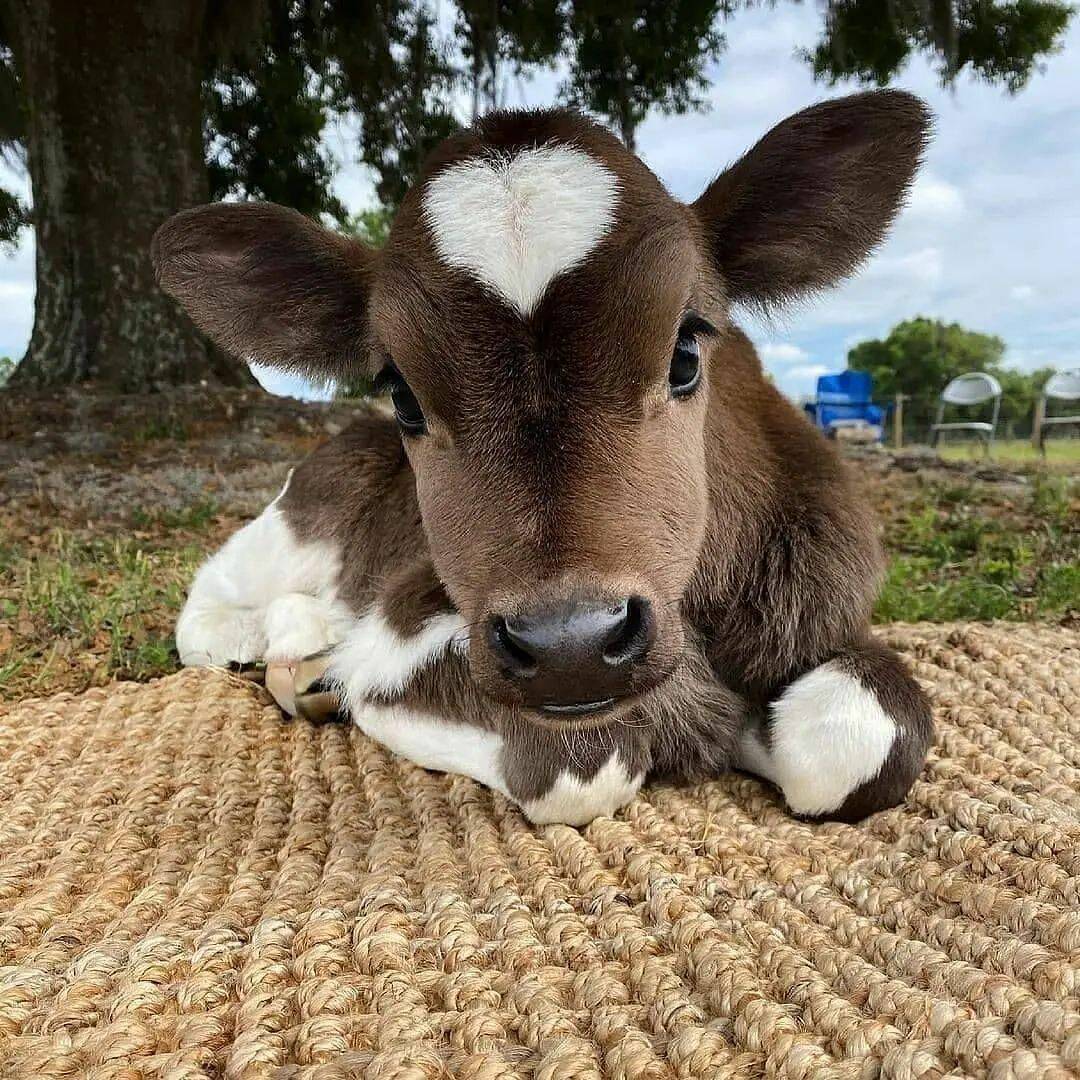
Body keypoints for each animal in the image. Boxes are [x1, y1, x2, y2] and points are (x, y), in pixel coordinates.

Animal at [154, 90, 937, 825]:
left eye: (686, 351)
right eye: (402, 394)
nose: (570, 645)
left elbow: (857, 741)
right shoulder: (402, 636)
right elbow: (582, 764)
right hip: (305, 512)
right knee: (211, 605)